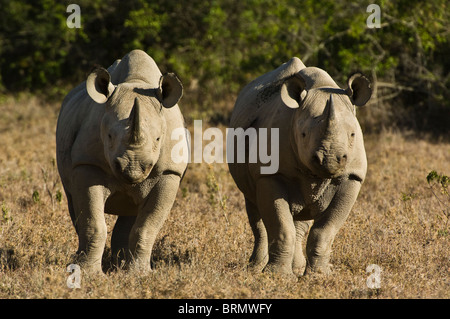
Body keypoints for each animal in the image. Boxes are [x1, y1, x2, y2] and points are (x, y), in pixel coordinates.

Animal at [56, 48, 188, 274]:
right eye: (109, 137)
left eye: (158, 139)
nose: (132, 170)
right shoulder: (87, 164)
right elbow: (93, 222)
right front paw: (89, 274)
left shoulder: (169, 173)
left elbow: (146, 227)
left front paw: (139, 275)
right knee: (73, 202)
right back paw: (80, 264)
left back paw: (120, 266)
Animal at [229, 58, 372, 278]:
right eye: (303, 135)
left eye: (352, 135)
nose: (329, 160)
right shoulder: (270, 174)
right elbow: (281, 227)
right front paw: (277, 277)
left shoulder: (352, 176)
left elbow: (325, 230)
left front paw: (319, 276)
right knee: (254, 210)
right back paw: (254, 269)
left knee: (300, 219)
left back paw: (297, 268)